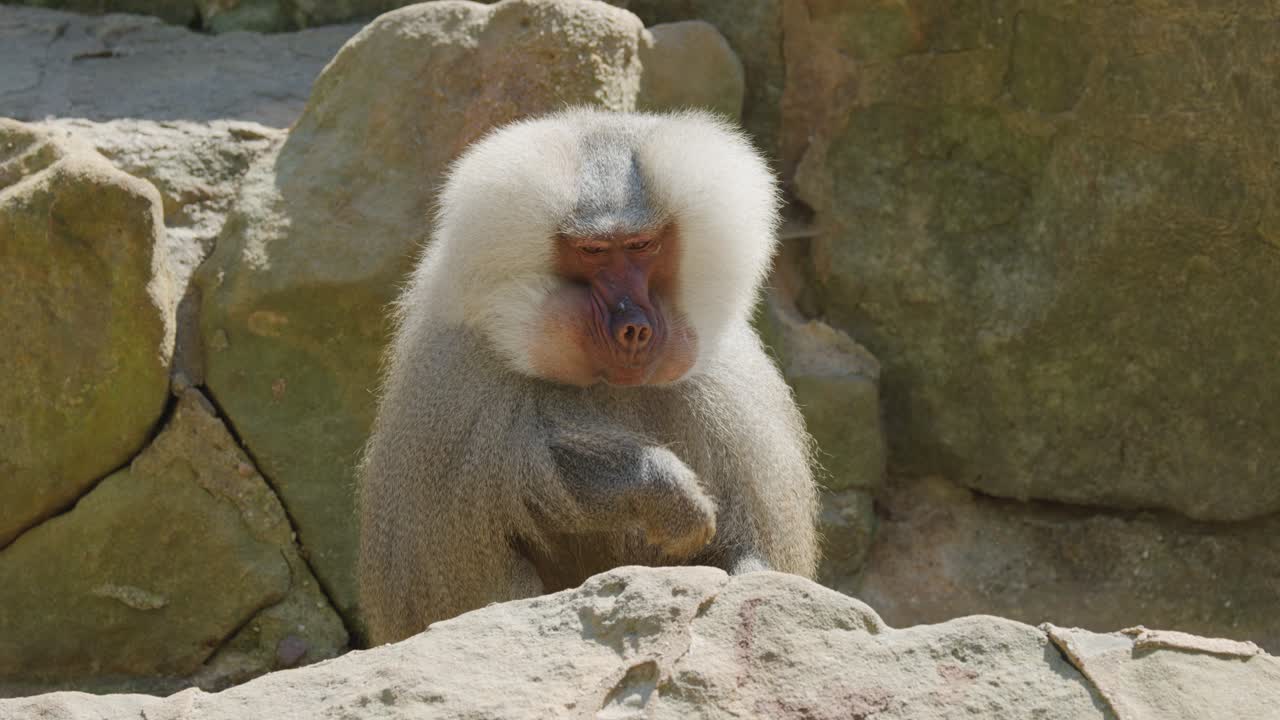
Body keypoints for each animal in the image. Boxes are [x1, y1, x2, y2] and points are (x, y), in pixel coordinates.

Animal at [356, 108, 818, 645]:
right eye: (594, 250)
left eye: (641, 245)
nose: (633, 329)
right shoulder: (460, 382)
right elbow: (519, 463)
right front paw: (667, 494)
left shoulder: (724, 394)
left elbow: (749, 555)